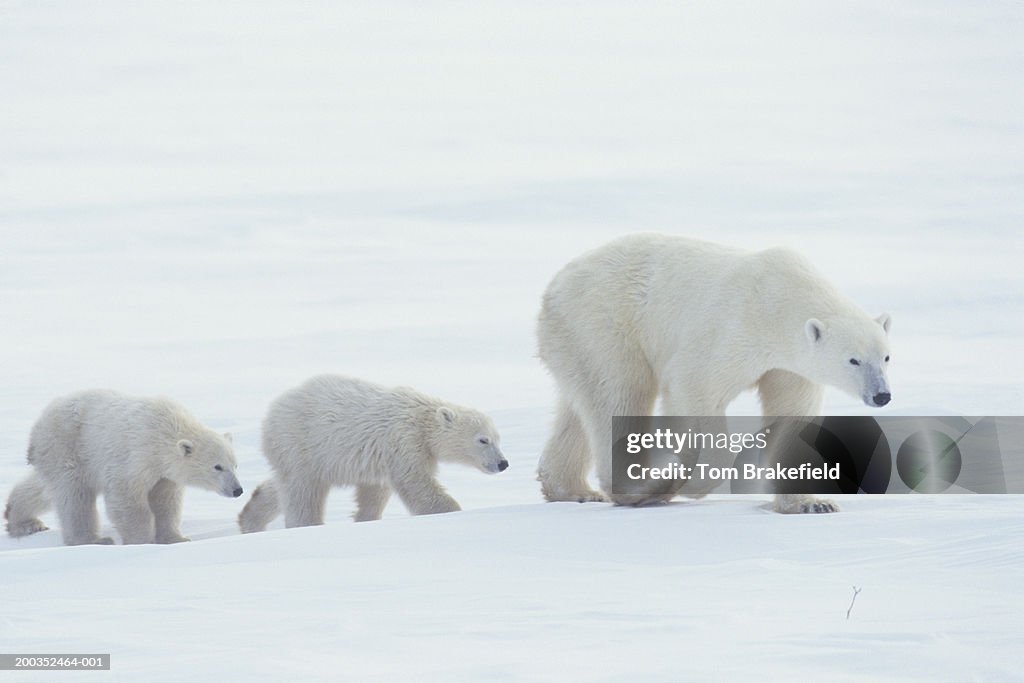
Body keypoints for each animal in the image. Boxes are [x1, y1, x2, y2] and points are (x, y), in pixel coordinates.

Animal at [540, 235, 892, 511]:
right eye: (854, 360)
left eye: (886, 357)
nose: (882, 395)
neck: (778, 301)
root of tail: (554, 286)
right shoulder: (732, 329)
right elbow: (695, 388)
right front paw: (687, 480)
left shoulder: (790, 367)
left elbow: (791, 414)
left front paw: (811, 503)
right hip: (604, 325)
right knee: (620, 395)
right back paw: (640, 489)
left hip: (577, 342)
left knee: (580, 408)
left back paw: (573, 490)